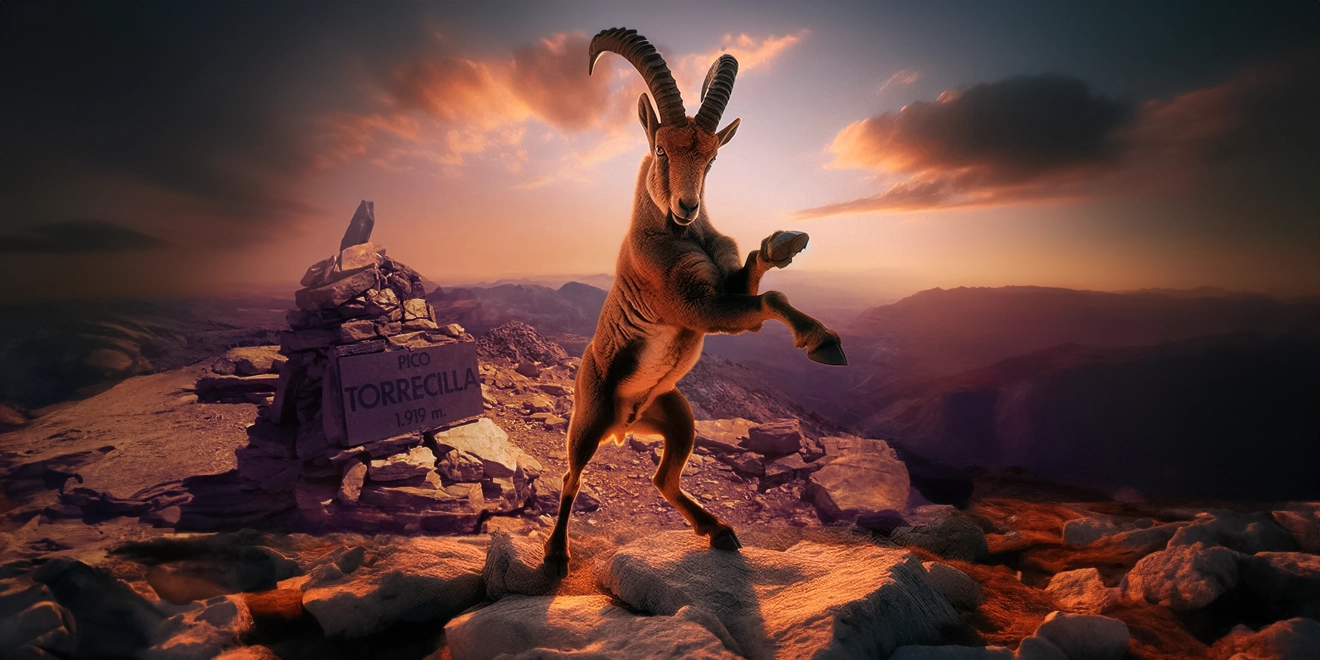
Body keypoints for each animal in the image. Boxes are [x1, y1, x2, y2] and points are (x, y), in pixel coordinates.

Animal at [543, 28, 847, 577]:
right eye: (662, 151)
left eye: (712, 158)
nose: (687, 207)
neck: (678, 235)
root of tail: (622, 426)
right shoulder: (696, 307)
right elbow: (767, 299)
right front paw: (823, 341)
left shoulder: (726, 288)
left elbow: (755, 274)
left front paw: (785, 243)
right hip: (587, 419)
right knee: (571, 476)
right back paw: (556, 555)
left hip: (677, 414)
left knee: (663, 479)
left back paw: (720, 530)